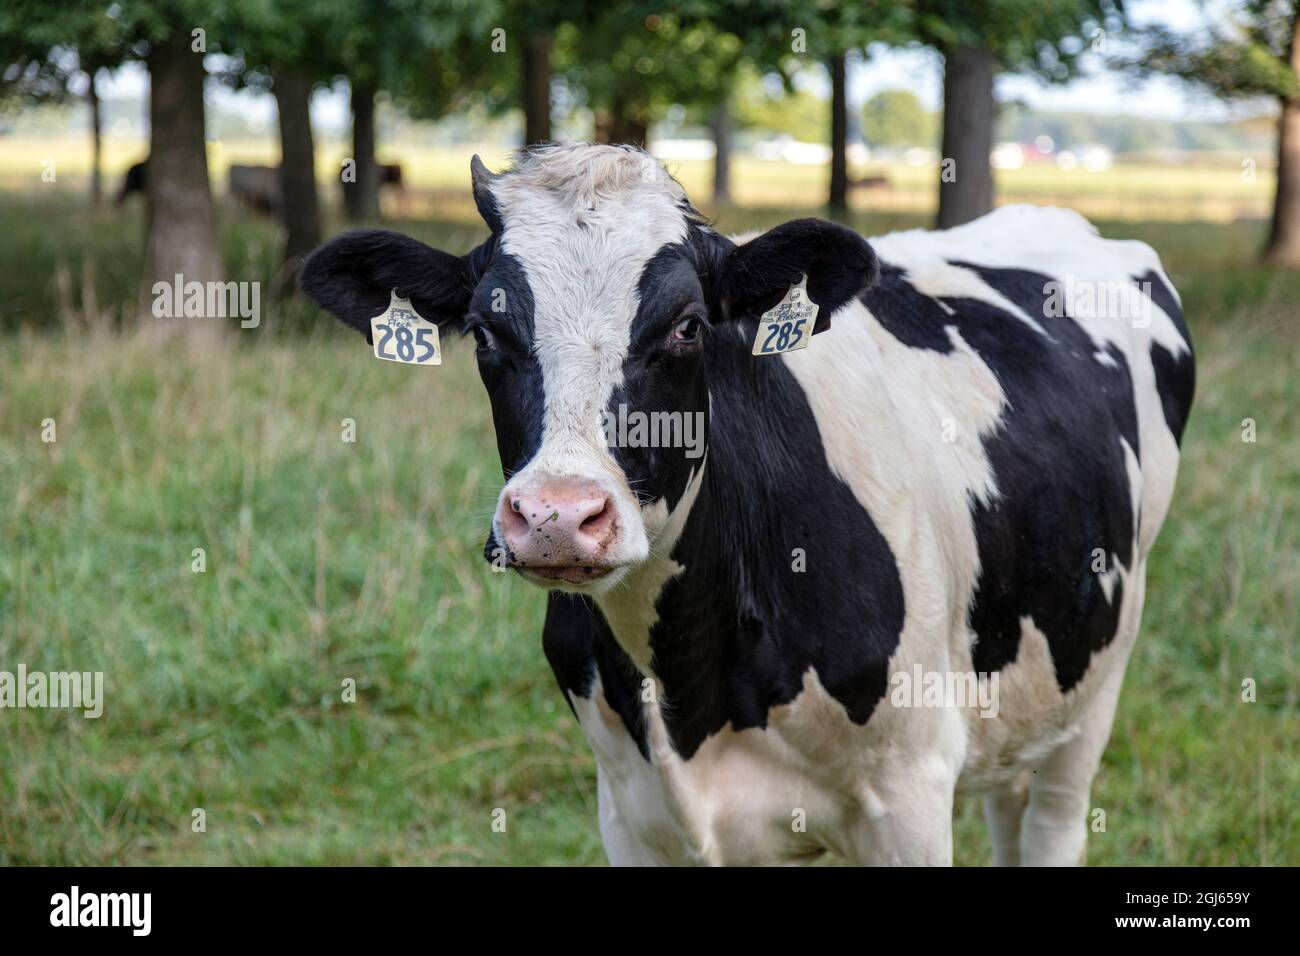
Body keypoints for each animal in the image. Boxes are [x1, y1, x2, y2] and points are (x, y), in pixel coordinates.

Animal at [299, 143, 1190, 868]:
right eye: (485, 332)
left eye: (689, 326)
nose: (556, 516)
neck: (690, 682)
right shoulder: (632, 813)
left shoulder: (909, 796)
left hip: (1100, 669)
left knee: (1052, 820)